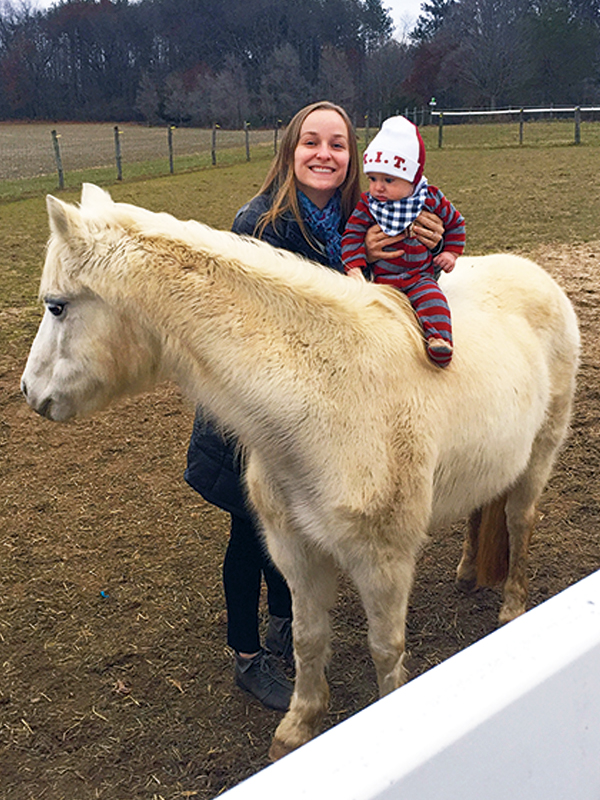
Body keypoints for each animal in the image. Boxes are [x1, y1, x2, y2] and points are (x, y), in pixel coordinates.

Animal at [21, 184, 580, 760]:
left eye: (57, 306)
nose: (30, 393)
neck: (327, 391)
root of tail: (535, 276)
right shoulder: (296, 549)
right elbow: (306, 637)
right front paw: (296, 728)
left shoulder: (383, 560)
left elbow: (386, 647)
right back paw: (468, 574)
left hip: (538, 457)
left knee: (518, 522)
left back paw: (512, 609)